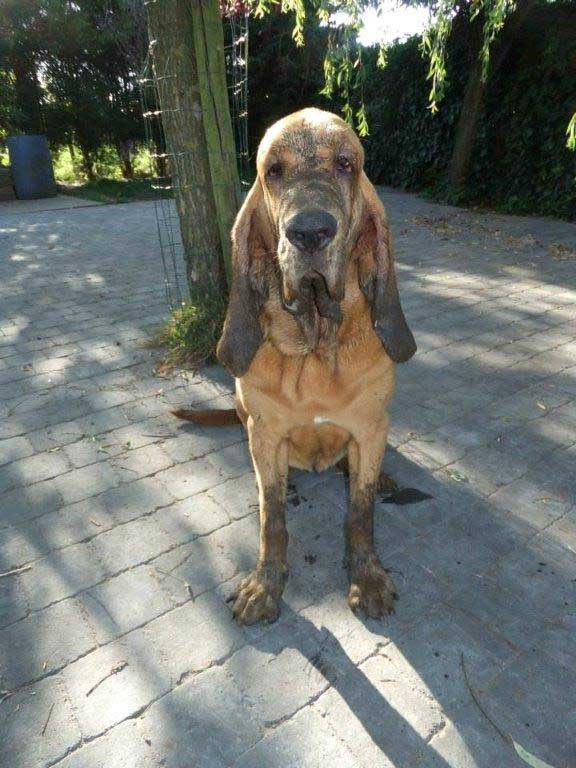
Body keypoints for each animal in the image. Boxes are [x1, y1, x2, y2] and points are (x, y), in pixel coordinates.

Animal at [174, 108, 416, 624]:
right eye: (274, 171)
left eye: (346, 164)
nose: (309, 232)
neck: (315, 342)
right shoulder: (265, 434)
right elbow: (273, 519)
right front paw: (265, 585)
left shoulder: (370, 428)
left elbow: (360, 512)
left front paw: (366, 577)